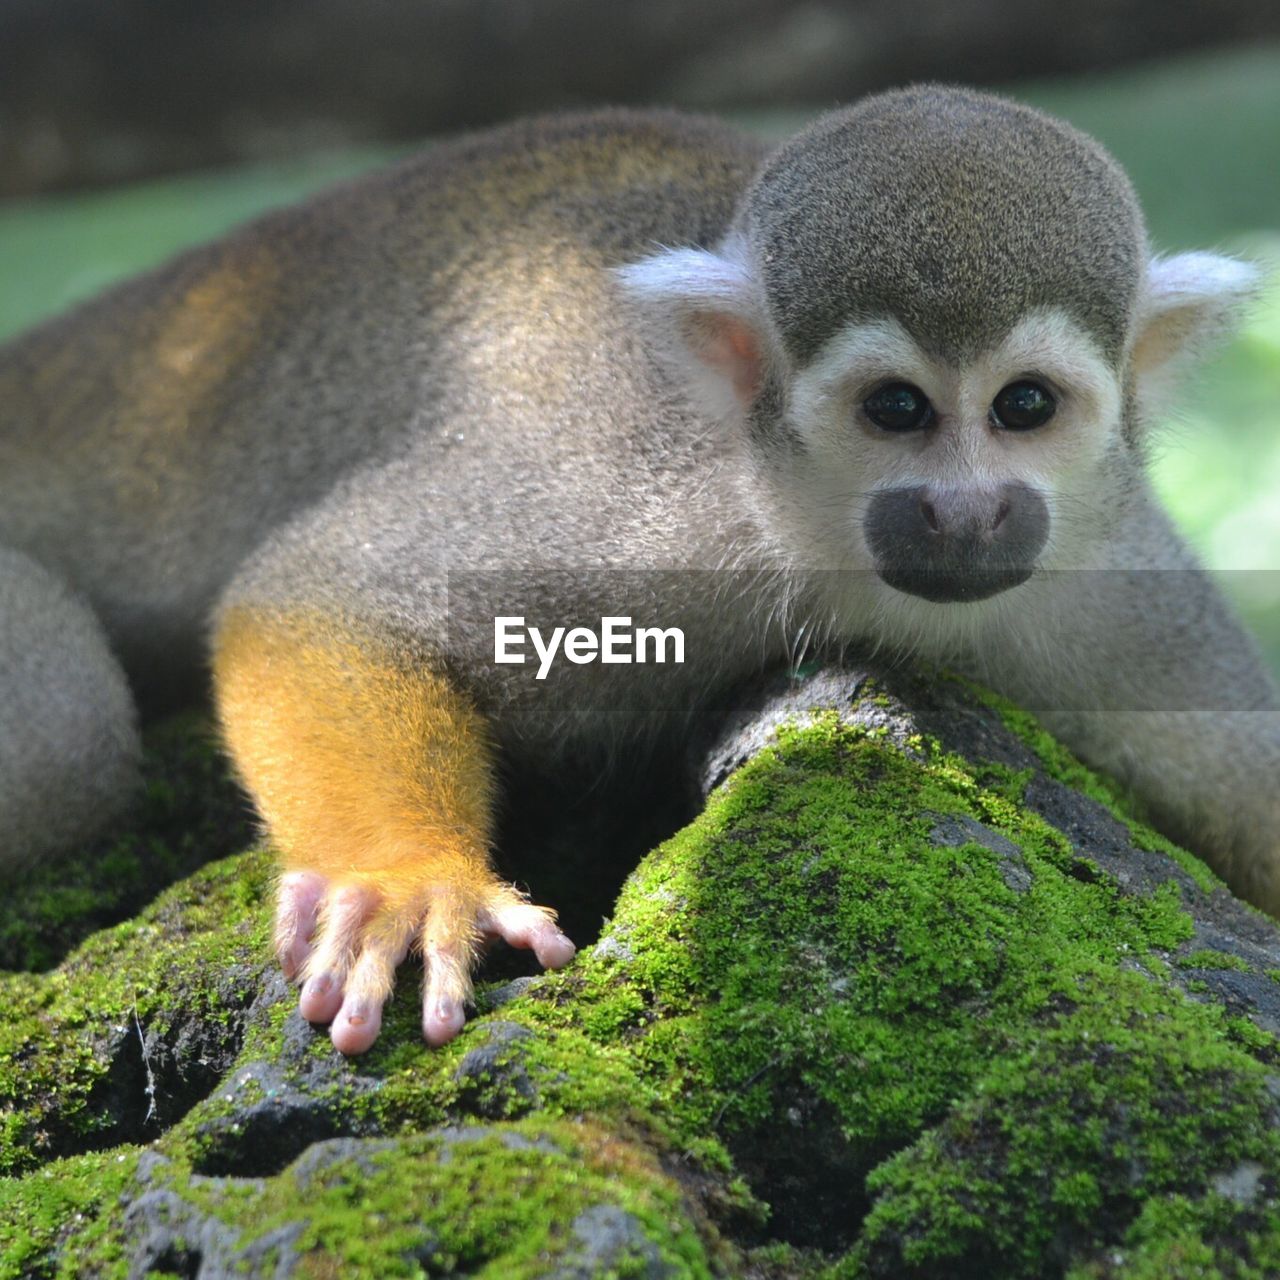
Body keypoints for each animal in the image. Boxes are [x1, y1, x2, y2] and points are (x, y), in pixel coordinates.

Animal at [2, 85, 1280, 1054]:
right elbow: (321, 591)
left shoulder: (1110, 576)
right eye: (894, 409)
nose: (963, 513)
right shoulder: (644, 505)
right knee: (65, 741)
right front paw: (407, 877)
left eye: (1023, 406)